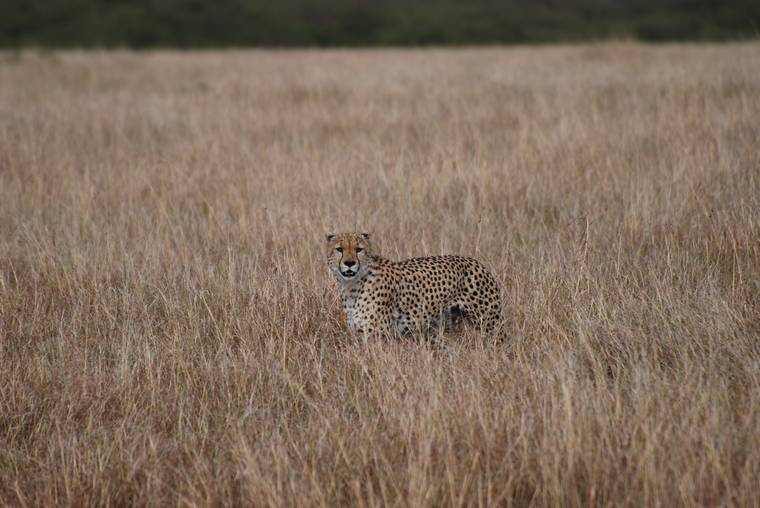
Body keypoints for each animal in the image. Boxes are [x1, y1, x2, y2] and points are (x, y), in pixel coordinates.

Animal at [326, 232, 501, 339]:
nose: (350, 263)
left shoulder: (378, 336)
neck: (352, 287)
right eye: (339, 249)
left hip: (489, 324)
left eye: (359, 249)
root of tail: (476, 262)